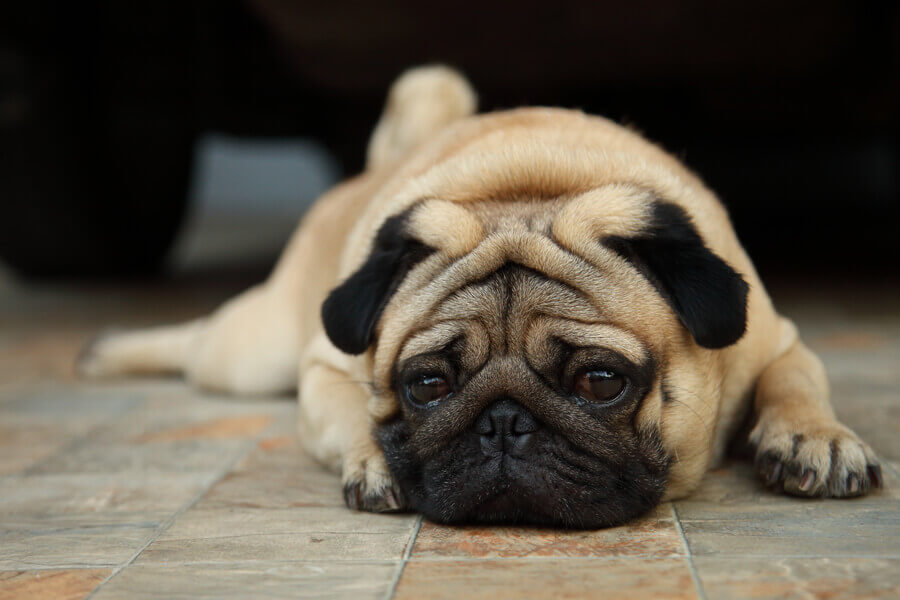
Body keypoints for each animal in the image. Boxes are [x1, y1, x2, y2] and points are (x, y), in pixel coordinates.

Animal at [77, 64, 880, 524]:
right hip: (256, 353)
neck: (528, 192)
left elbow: (795, 382)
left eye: (601, 381)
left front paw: (815, 437)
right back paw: (109, 350)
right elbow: (354, 413)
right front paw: (375, 460)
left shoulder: (775, 339)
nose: (503, 424)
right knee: (200, 342)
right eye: (427, 385)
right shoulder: (322, 368)